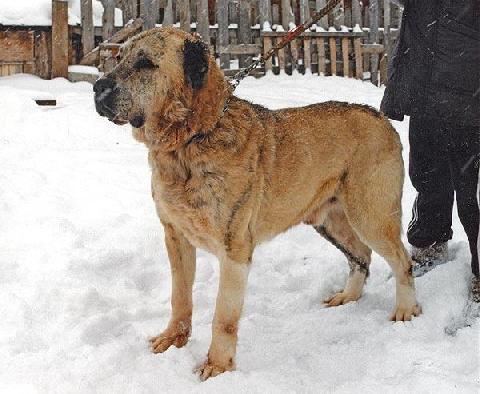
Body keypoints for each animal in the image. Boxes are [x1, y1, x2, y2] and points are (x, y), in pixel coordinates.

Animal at [93, 26, 420, 378]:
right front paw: (173, 339)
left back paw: (405, 310)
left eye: (145, 63)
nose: (97, 88)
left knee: (401, 260)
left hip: (370, 214)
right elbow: (179, 297)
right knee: (361, 256)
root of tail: (381, 116)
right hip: (328, 220)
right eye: (119, 56)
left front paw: (217, 366)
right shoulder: (176, 237)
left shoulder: (234, 250)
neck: (192, 139)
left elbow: (223, 316)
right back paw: (348, 296)